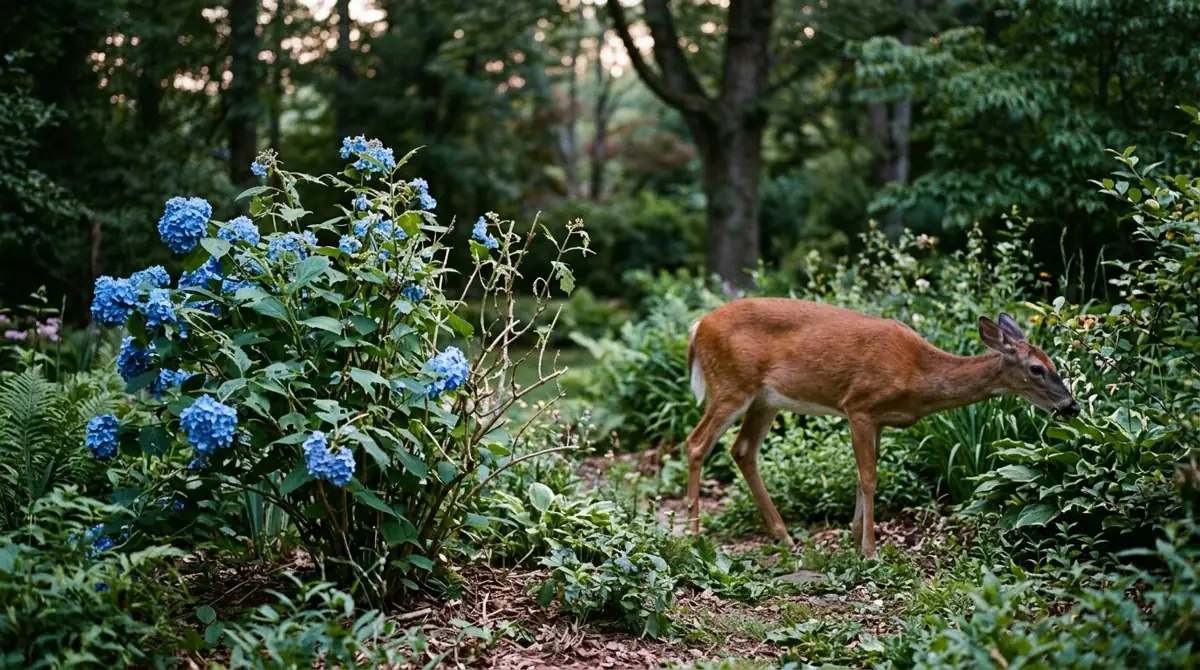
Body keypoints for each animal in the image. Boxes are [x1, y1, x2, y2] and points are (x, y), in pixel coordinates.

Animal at [684, 297, 1079, 557]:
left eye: (1053, 362)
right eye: (1036, 369)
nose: (1071, 406)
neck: (917, 375)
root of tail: (697, 328)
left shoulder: (878, 419)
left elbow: (864, 477)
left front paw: (854, 537)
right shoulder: (859, 406)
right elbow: (869, 477)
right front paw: (870, 551)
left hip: (766, 399)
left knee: (743, 449)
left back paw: (785, 537)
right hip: (732, 384)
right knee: (696, 443)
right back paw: (693, 535)